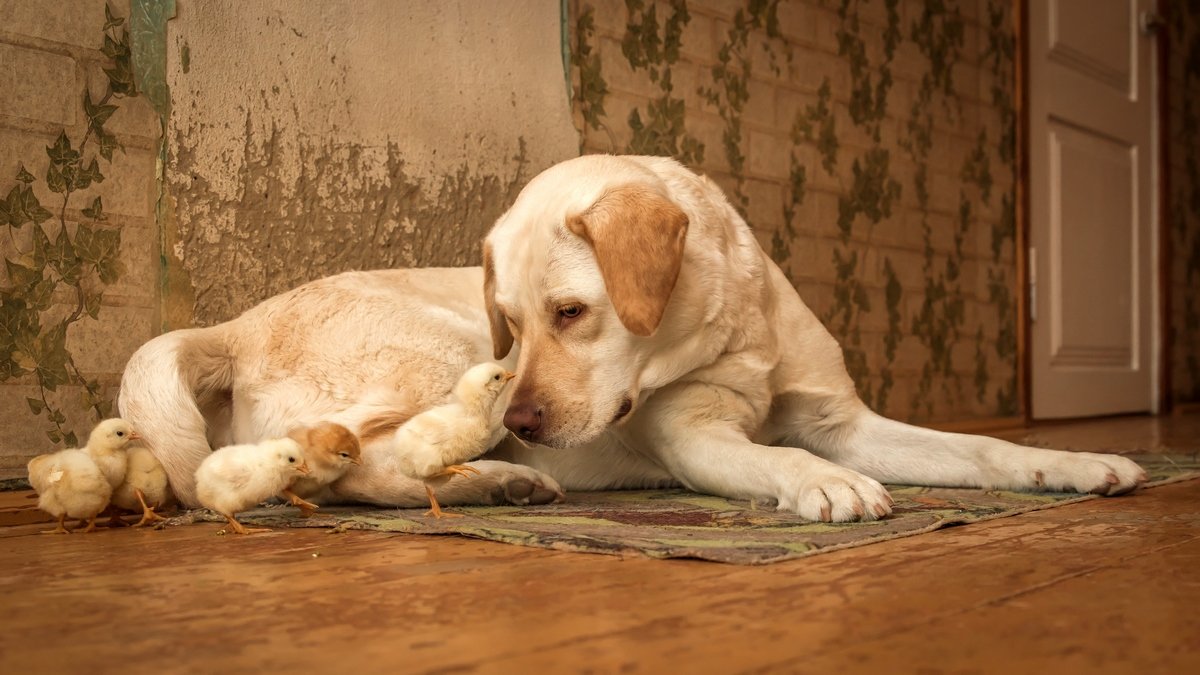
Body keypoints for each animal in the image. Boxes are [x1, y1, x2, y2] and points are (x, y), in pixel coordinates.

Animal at [119, 154, 1142, 516]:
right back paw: (494, 480)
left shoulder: (844, 418)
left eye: (571, 313)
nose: (526, 421)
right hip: (445, 356)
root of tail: (231, 328)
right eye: (514, 320)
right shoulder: (693, 437)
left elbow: (980, 448)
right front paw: (824, 484)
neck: (737, 328)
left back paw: (498, 477)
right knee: (350, 465)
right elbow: (780, 458)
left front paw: (1074, 463)